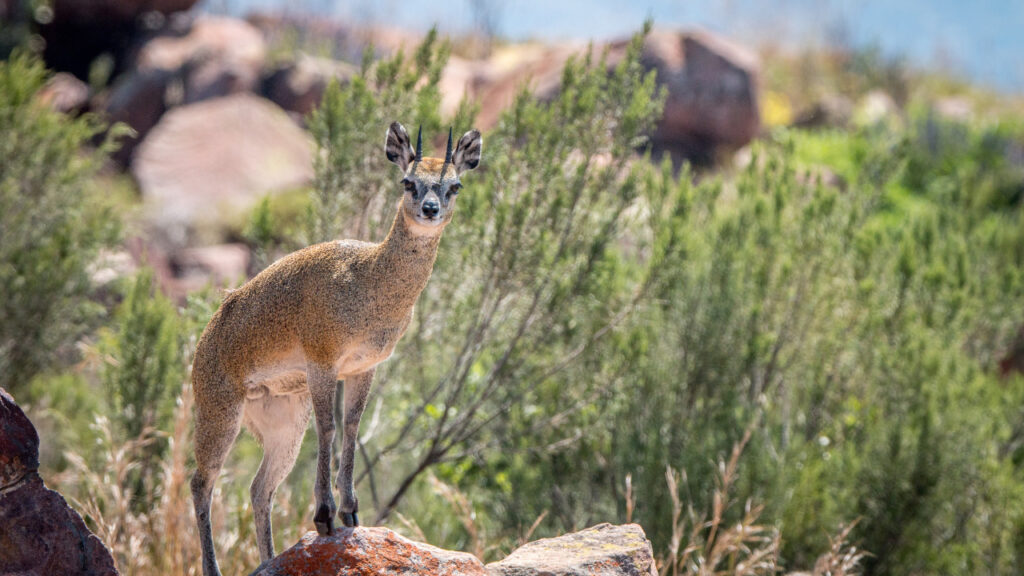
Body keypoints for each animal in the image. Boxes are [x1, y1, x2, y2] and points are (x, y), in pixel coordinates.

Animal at [190, 121, 481, 573]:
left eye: (455, 185)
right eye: (408, 181)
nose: (430, 209)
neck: (369, 280)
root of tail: (204, 341)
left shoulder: (363, 367)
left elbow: (351, 428)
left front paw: (349, 512)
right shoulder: (321, 363)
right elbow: (328, 428)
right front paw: (324, 515)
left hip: (282, 418)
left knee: (259, 487)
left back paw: (270, 558)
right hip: (219, 411)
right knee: (201, 483)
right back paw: (215, 567)